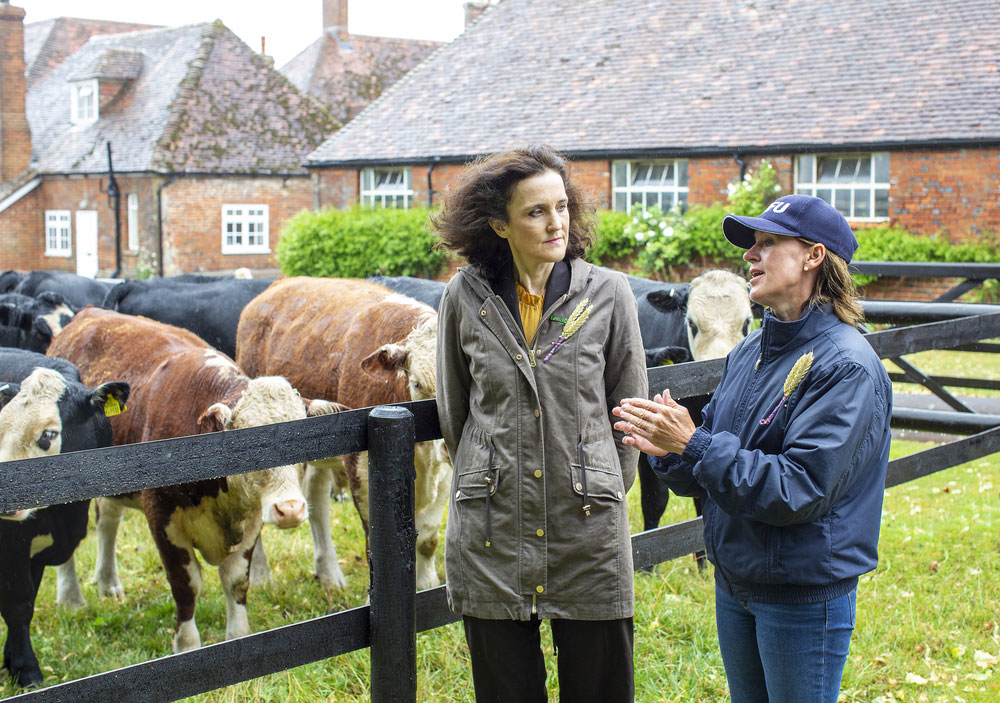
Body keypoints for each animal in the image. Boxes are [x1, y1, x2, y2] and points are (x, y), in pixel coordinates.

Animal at [0, 350, 129, 688]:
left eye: (48, 435)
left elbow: (26, 603)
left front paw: (12, 662)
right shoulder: (11, 547)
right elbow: (17, 603)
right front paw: (27, 670)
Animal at [47, 310, 332, 656]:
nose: (289, 509)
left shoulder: (252, 519)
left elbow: (235, 580)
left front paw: (238, 635)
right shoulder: (161, 517)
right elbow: (186, 585)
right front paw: (187, 645)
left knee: (108, 521)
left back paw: (107, 582)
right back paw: (70, 597)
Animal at [236, 280, 448, 592]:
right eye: (417, 383)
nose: (446, 446)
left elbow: (429, 540)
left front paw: (428, 585)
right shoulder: (361, 471)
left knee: (317, 501)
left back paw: (329, 573)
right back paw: (262, 575)